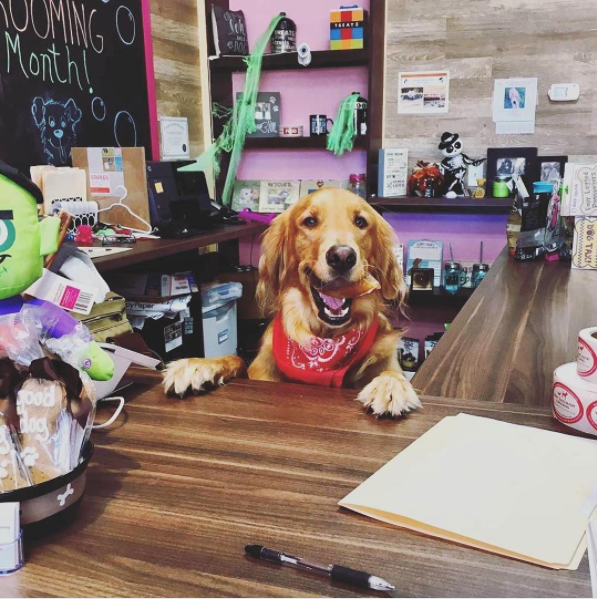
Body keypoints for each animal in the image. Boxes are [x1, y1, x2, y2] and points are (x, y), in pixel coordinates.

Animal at [162, 189, 420, 418]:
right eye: (310, 221)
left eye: (360, 221)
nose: (342, 257)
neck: (323, 340)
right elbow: (237, 359)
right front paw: (198, 365)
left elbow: (391, 372)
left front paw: (391, 385)